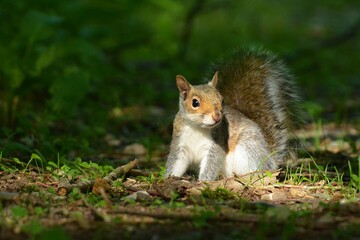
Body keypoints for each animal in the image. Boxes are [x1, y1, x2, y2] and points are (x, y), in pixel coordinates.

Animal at [165, 48, 300, 180]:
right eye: (195, 102)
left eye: (222, 100)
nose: (217, 116)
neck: (197, 127)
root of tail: (269, 158)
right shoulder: (180, 144)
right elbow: (176, 163)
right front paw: (167, 178)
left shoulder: (215, 145)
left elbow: (210, 166)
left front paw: (203, 182)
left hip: (247, 150)